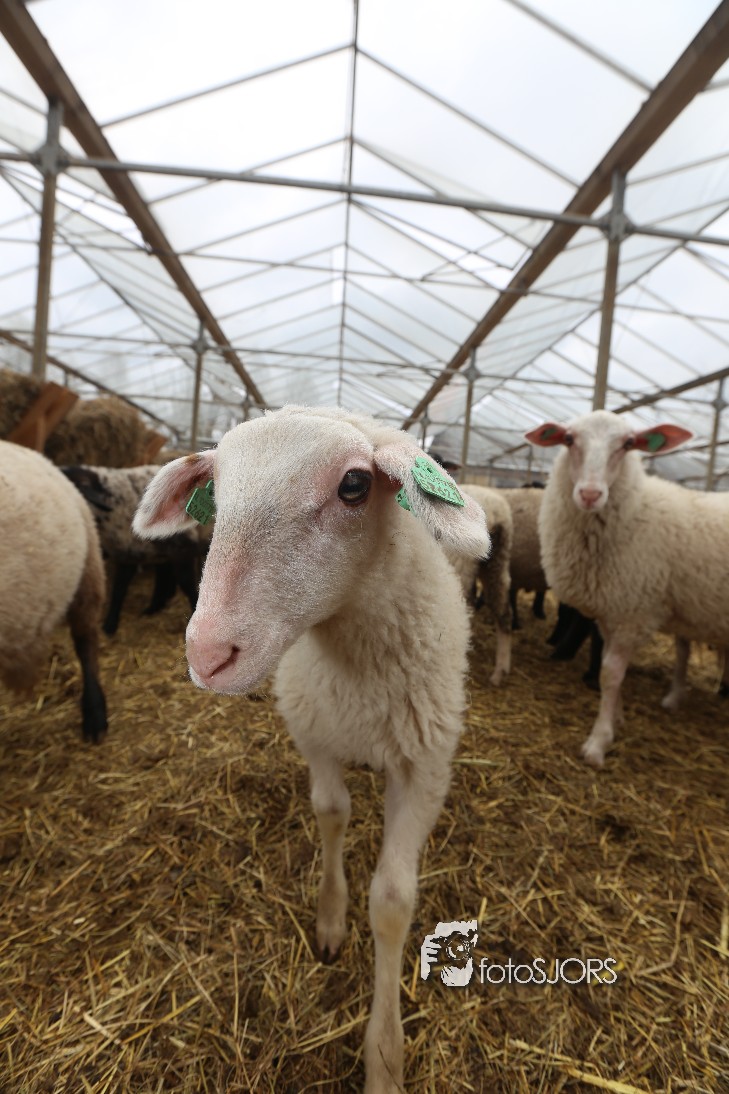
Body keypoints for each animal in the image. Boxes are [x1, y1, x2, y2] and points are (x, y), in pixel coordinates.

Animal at [132, 405, 490, 1094]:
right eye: (215, 492)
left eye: (354, 485)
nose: (207, 653)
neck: (352, 659)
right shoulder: (316, 733)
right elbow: (331, 814)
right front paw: (329, 918)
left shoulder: (424, 767)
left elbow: (393, 902)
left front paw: (384, 1056)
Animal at [527, 409, 729, 766]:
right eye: (569, 439)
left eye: (629, 443)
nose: (590, 494)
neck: (637, 509)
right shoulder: (612, 612)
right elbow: (607, 665)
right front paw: (616, 719)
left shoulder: (632, 612)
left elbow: (610, 673)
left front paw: (598, 742)